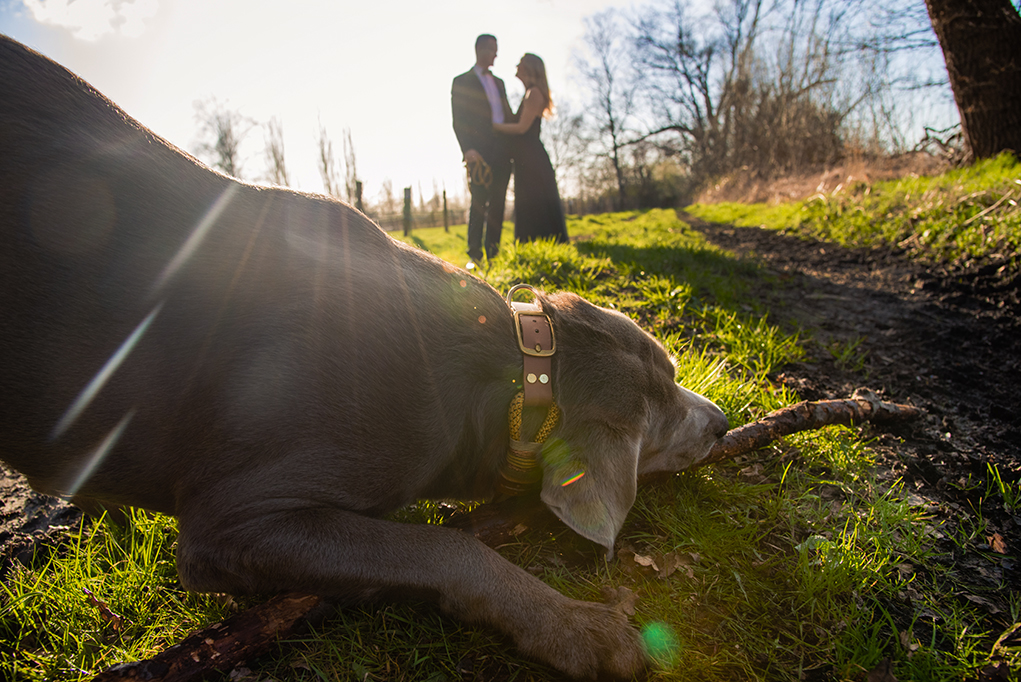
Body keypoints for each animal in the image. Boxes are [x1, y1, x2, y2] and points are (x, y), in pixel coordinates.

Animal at [3, 37, 731, 682]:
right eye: (661, 420)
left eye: (674, 375)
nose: (724, 422)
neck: (512, 382)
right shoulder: (232, 521)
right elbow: (445, 545)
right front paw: (582, 630)